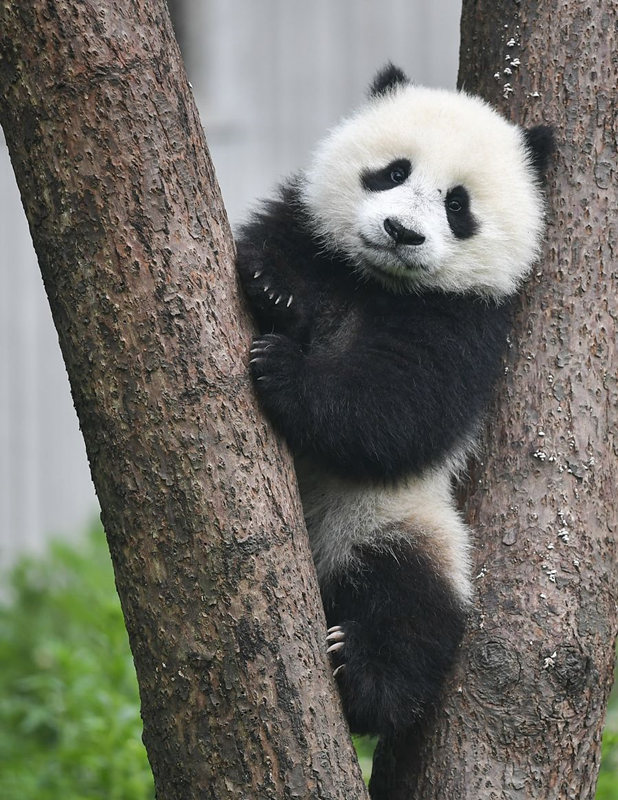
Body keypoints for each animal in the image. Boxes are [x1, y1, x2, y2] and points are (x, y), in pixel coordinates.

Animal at [236, 64, 554, 739]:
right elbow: (270, 250)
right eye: (392, 172)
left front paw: (285, 371)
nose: (401, 233)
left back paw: (361, 675)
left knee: (410, 603)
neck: (373, 283)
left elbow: (401, 409)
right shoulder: (304, 228)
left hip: (399, 521)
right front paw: (273, 292)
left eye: (457, 205)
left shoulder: (469, 322)